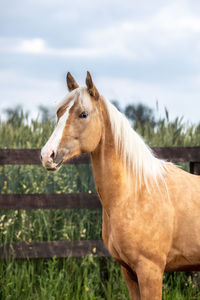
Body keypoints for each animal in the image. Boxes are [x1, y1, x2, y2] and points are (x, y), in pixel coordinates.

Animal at [40, 71, 200, 298]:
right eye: (58, 113)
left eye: (83, 114)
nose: (47, 155)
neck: (135, 193)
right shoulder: (129, 272)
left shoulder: (150, 270)